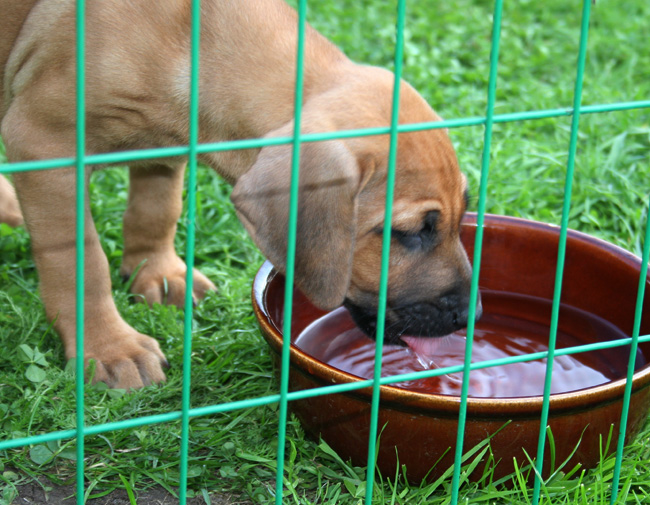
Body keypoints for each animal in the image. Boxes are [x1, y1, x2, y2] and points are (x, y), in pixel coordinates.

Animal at [0, 0, 476, 390]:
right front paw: (109, 347)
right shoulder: (43, 145)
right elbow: (80, 262)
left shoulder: (163, 144)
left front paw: (158, 273)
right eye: (409, 232)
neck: (193, 42)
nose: (470, 316)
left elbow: (156, 208)